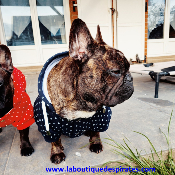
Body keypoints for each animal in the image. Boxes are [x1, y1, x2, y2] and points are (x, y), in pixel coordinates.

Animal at [33, 18, 133, 164]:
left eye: (129, 67)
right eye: (116, 72)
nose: (130, 78)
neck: (81, 103)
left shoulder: (100, 119)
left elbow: (96, 132)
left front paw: (95, 144)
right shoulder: (49, 125)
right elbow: (55, 141)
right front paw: (57, 153)